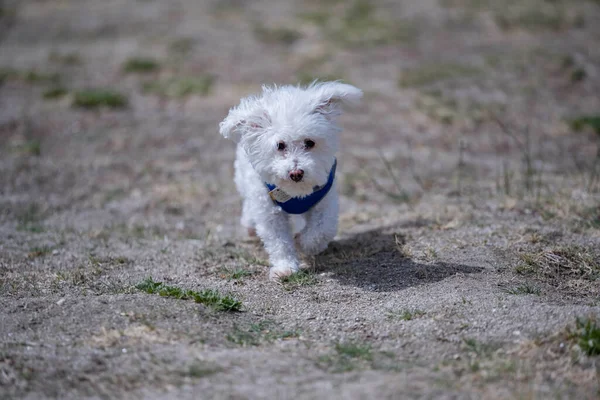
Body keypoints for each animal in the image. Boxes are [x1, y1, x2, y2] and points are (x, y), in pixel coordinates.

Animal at [219, 82, 364, 278]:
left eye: (309, 142)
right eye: (280, 145)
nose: (296, 173)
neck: (296, 193)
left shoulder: (326, 200)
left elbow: (321, 230)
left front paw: (303, 242)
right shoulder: (269, 210)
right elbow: (279, 241)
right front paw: (285, 268)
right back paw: (249, 225)